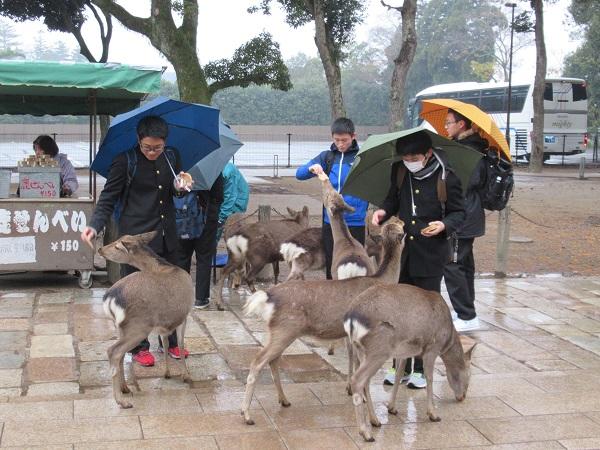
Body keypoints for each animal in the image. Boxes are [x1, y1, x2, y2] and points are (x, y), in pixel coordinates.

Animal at [98, 230, 192, 410]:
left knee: (120, 354)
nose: (100, 249)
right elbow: (181, 344)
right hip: (139, 327)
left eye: (117, 245)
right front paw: (186, 376)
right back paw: (122, 401)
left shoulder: (163, 324)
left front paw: (167, 373)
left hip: (121, 326)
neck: (165, 267)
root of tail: (110, 298)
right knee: (113, 351)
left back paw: (125, 388)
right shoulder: (185, 314)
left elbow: (166, 343)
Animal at [238, 214, 404, 426]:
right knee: (258, 361)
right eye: (399, 225)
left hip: (278, 331)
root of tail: (267, 297)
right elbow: (364, 376)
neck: (381, 281)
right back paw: (247, 414)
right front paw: (374, 420)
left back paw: (284, 400)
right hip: (285, 329)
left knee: (272, 359)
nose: (399, 218)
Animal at [344, 284, 476, 442]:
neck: (447, 339)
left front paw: (392, 408)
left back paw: (375, 421)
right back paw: (366, 433)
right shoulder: (432, 348)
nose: (462, 397)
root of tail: (351, 319)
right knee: (357, 380)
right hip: (379, 350)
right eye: (469, 374)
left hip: (362, 350)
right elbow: (430, 378)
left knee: (366, 382)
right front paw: (433, 414)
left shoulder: (404, 352)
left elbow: (399, 374)